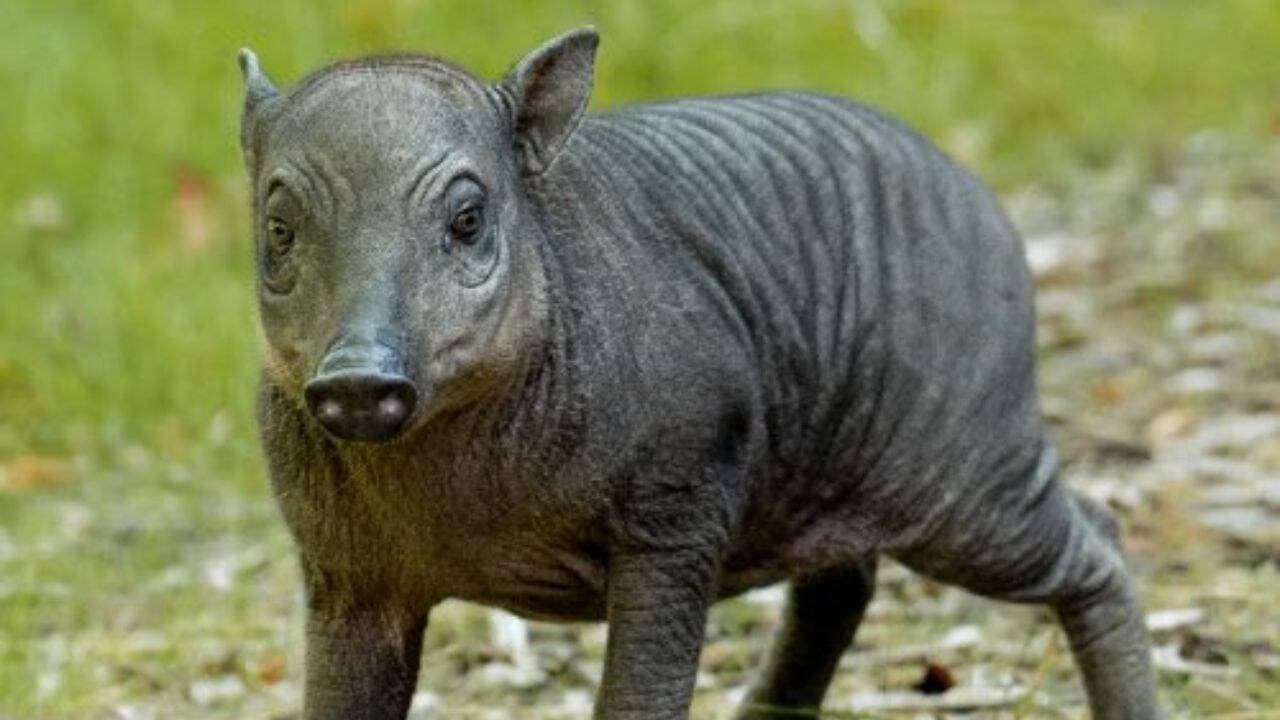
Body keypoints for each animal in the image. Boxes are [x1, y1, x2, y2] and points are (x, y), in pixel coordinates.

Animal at [236, 27, 1159, 720]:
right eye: (278, 228)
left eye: (466, 220)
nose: (357, 381)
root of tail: (979, 195)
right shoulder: (346, 575)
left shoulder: (676, 517)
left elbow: (639, 697)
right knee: (840, 587)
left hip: (967, 478)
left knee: (1099, 541)